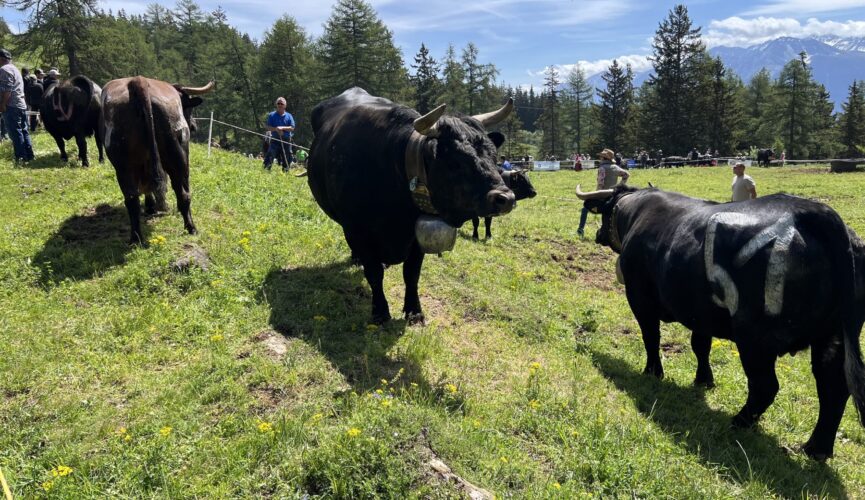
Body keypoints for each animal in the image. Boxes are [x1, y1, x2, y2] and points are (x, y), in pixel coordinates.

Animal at [100, 77, 214, 245]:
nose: (193, 126)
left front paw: (151, 207)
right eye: (188, 108)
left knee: (132, 199)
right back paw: (191, 228)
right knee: (183, 193)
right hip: (178, 157)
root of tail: (138, 80)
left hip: (124, 167)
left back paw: (136, 238)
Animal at [308, 87, 516, 324]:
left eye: (493, 155)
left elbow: (412, 273)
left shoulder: (416, 236)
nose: (506, 198)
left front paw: (414, 311)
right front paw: (380, 312)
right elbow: (374, 273)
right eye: (456, 162)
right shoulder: (357, 229)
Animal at [575, 183, 865, 460]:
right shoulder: (701, 312)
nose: (598, 235)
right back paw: (816, 448)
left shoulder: (639, 297)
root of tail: (814, 210)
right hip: (833, 337)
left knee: (766, 386)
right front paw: (703, 380)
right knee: (834, 387)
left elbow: (651, 337)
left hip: (755, 338)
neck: (635, 210)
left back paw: (739, 422)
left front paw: (653, 372)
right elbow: (700, 346)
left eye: (604, 213)